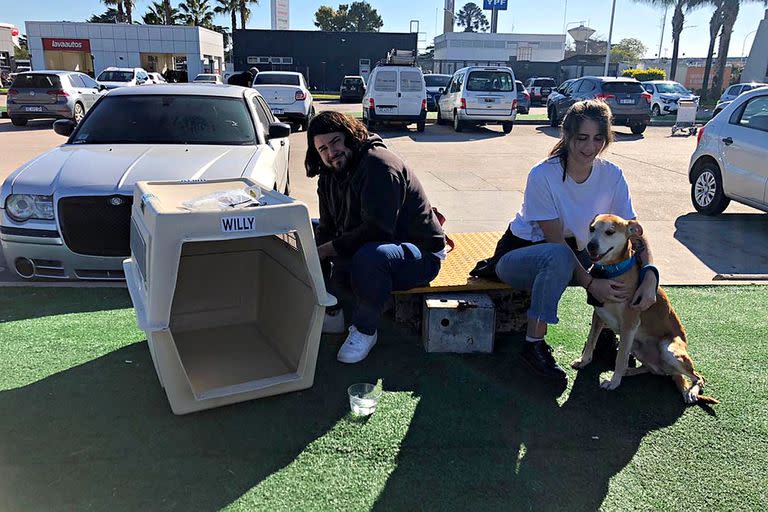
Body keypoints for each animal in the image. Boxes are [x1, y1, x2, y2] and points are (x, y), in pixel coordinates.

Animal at [572, 213, 716, 404]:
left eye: (610, 232)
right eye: (592, 229)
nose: (591, 245)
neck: (613, 272)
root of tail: (670, 370)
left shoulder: (629, 325)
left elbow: (620, 358)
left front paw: (614, 382)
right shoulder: (598, 315)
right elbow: (591, 341)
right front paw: (584, 361)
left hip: (670, 350)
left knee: (698, 377)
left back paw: (690, 392)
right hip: (636, 345)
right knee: (654, 370)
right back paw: (629, 372)